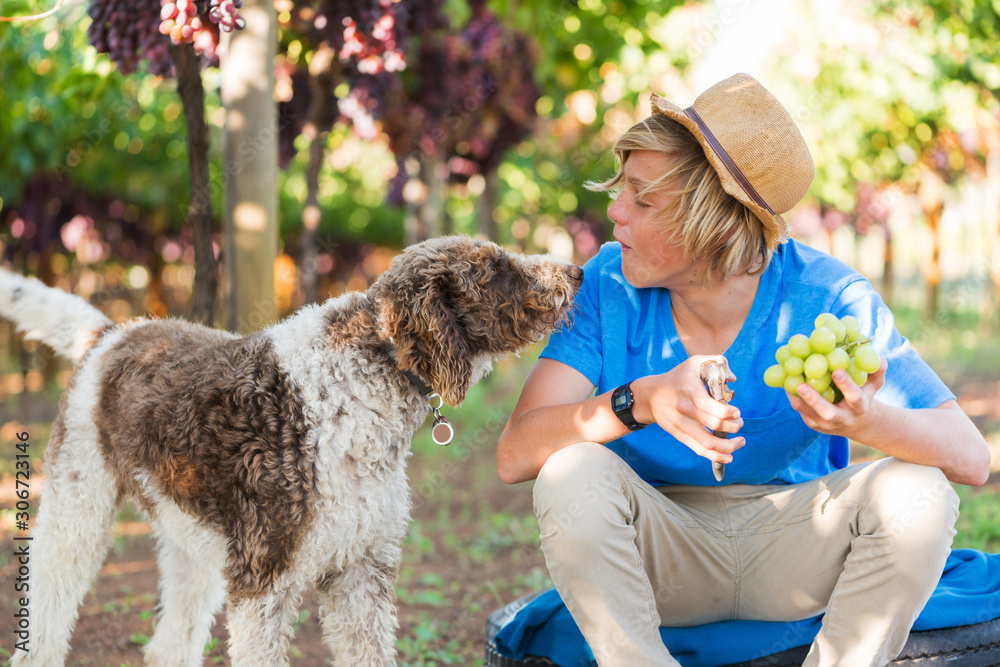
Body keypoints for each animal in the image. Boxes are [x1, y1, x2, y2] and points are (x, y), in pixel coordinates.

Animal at [0, 237, 584, 664]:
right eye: (496, 268)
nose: (577, 271)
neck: (368, 373)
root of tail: (112, 335)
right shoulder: (263, 578)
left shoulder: (361, 571)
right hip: (77, 514)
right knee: (46, 620)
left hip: (190, 542)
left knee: (172, 640)